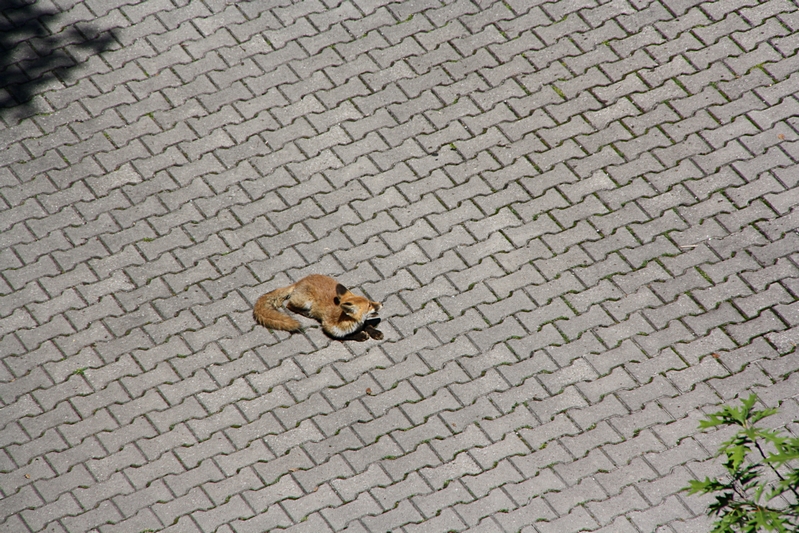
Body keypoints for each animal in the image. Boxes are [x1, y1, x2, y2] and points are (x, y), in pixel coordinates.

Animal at [253, 274, 383, 341]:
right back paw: (306, 313)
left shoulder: (361, 323)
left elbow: (367, 325)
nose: (381, 304)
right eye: (369, 305)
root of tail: (299, 282)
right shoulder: (329, 330)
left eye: (370, 301)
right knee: (289, 305)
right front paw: (360, 335)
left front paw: (375, 332)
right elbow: (346, 336)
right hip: (305, 302)